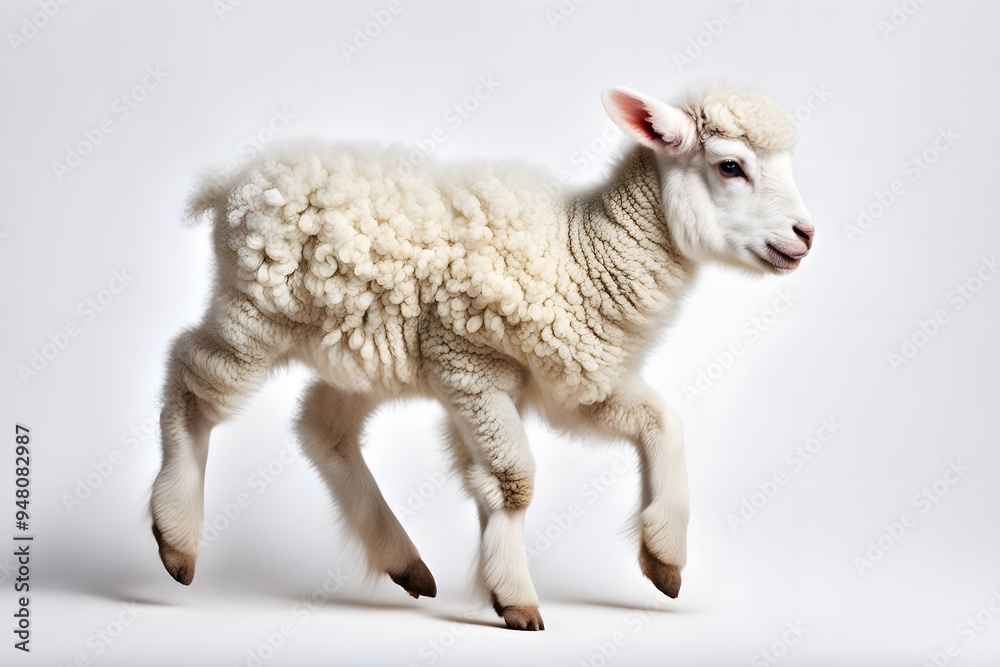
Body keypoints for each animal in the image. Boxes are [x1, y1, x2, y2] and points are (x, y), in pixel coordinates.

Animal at [150, 82, 814, 631]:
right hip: (256, 307)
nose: (806, 236)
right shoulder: (469, 363)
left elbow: (662, 422)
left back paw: (404, 562)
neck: (583, 253)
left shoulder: (567, 382)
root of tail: (232, 181)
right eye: (731, 166)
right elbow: (514, 481)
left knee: (321, 427)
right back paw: (177, 538)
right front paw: (514, 597)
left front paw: (665, 556)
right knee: (191, 377)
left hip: (360, 347)